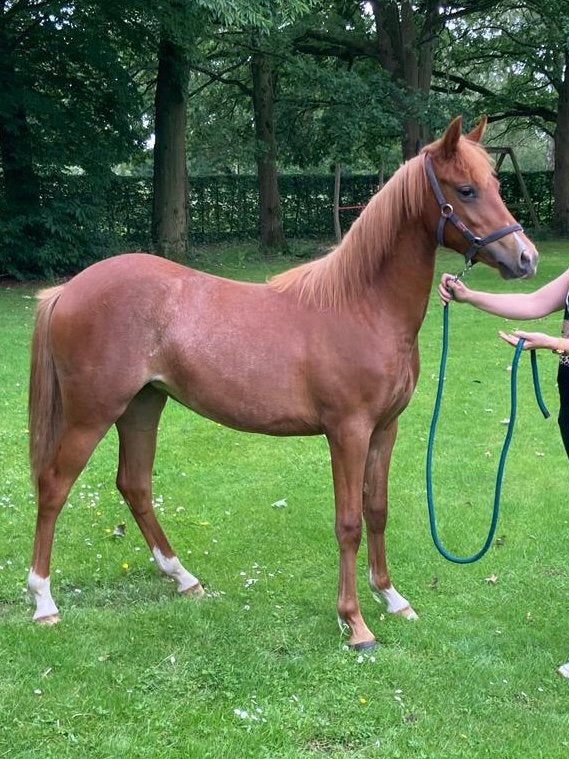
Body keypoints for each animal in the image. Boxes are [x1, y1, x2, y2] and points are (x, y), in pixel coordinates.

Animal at [27, 116, 538, 649]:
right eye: (466, 189)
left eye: (496, 184)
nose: (526, 258)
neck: (362, 306)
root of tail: (67, 289)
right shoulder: (348, 432)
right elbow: (349, 523)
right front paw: (355, 623)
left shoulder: (385, 429)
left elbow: (377, 510)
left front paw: (392, 597)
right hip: (92, 413)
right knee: (54, 486)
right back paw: (43, 602)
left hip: (142, 406)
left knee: (135, 485)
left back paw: (183, 578)